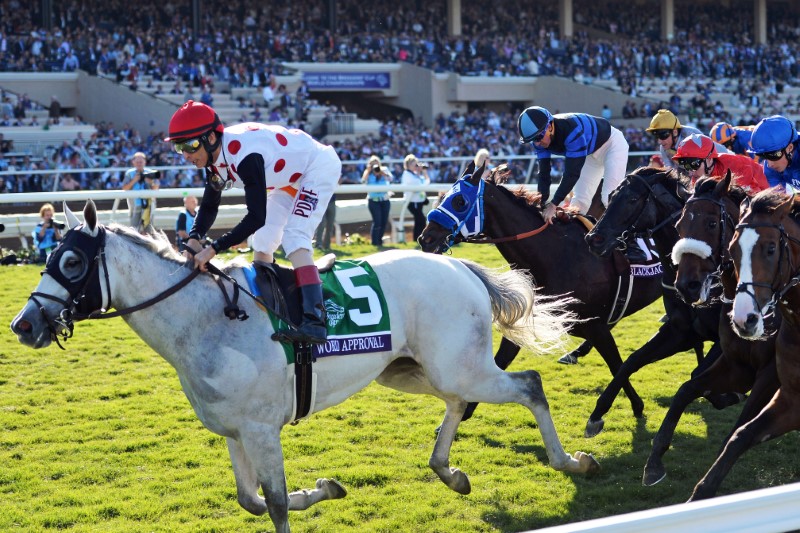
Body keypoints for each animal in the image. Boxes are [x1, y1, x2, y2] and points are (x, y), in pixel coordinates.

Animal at [10, 202, 600, 528]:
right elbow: (250, 499)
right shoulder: (234, 430)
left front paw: (307, 494)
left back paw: (571, 462)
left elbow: (272, 504)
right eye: (47, 257)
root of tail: (459, 265)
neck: (205, 318)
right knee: (460, 402)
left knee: (529, 385)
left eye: (71, 261)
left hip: (457, 365)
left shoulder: (261, 428)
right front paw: (325, 488)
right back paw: (447, 470)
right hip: (413, 370)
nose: (23, 324)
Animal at [416, 162, 664, 420]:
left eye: (460, 201)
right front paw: (463, 413)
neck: (556, 256)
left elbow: (617, 364)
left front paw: (636, 405)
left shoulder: (596, 326)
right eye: (443, 196)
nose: (425, 238)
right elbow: (500, 360)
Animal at [580, 166, 732, 436]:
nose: (593, 239)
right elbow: (630, 361)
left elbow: (698, 374)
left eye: (632, 199)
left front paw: (726, 395)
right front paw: (597, 414)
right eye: (611, 196)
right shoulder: (681, 331)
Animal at [640, 174, 780, 486]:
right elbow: (687, 387)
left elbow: (740, 425)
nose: (686, 285)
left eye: (713, 224)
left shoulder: (769, 372)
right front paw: (654, 461)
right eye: (678, 226)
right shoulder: (734, 362)